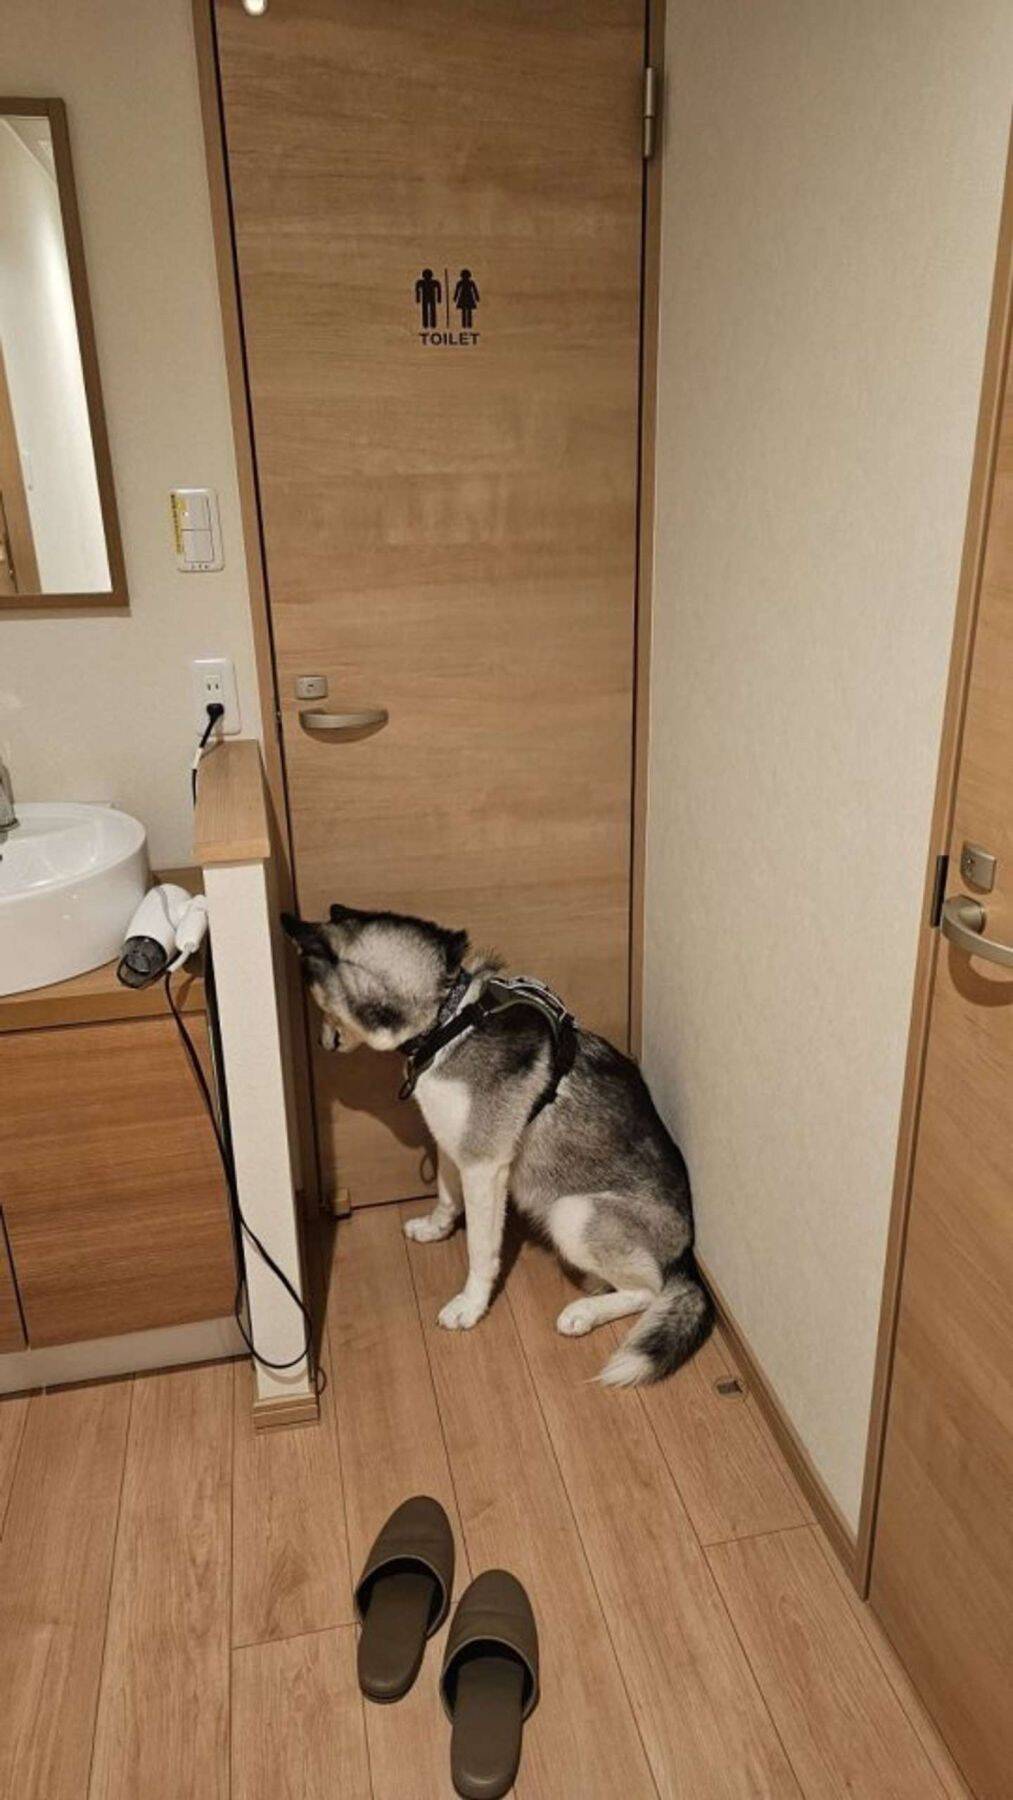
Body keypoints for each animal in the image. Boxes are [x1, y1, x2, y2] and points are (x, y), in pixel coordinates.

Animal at [282, 903, 713, 1384]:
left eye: (315, 1000)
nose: (323, 1043)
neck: (447, 1021)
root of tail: (686, 1256)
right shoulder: (452, 1146)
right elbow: (445, 1196)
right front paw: (435, 1229)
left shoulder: (484, 1167)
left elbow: (480, 1250)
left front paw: (470, 1306)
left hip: (573, 1213)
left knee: (649, 1291)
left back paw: (583, 1312)